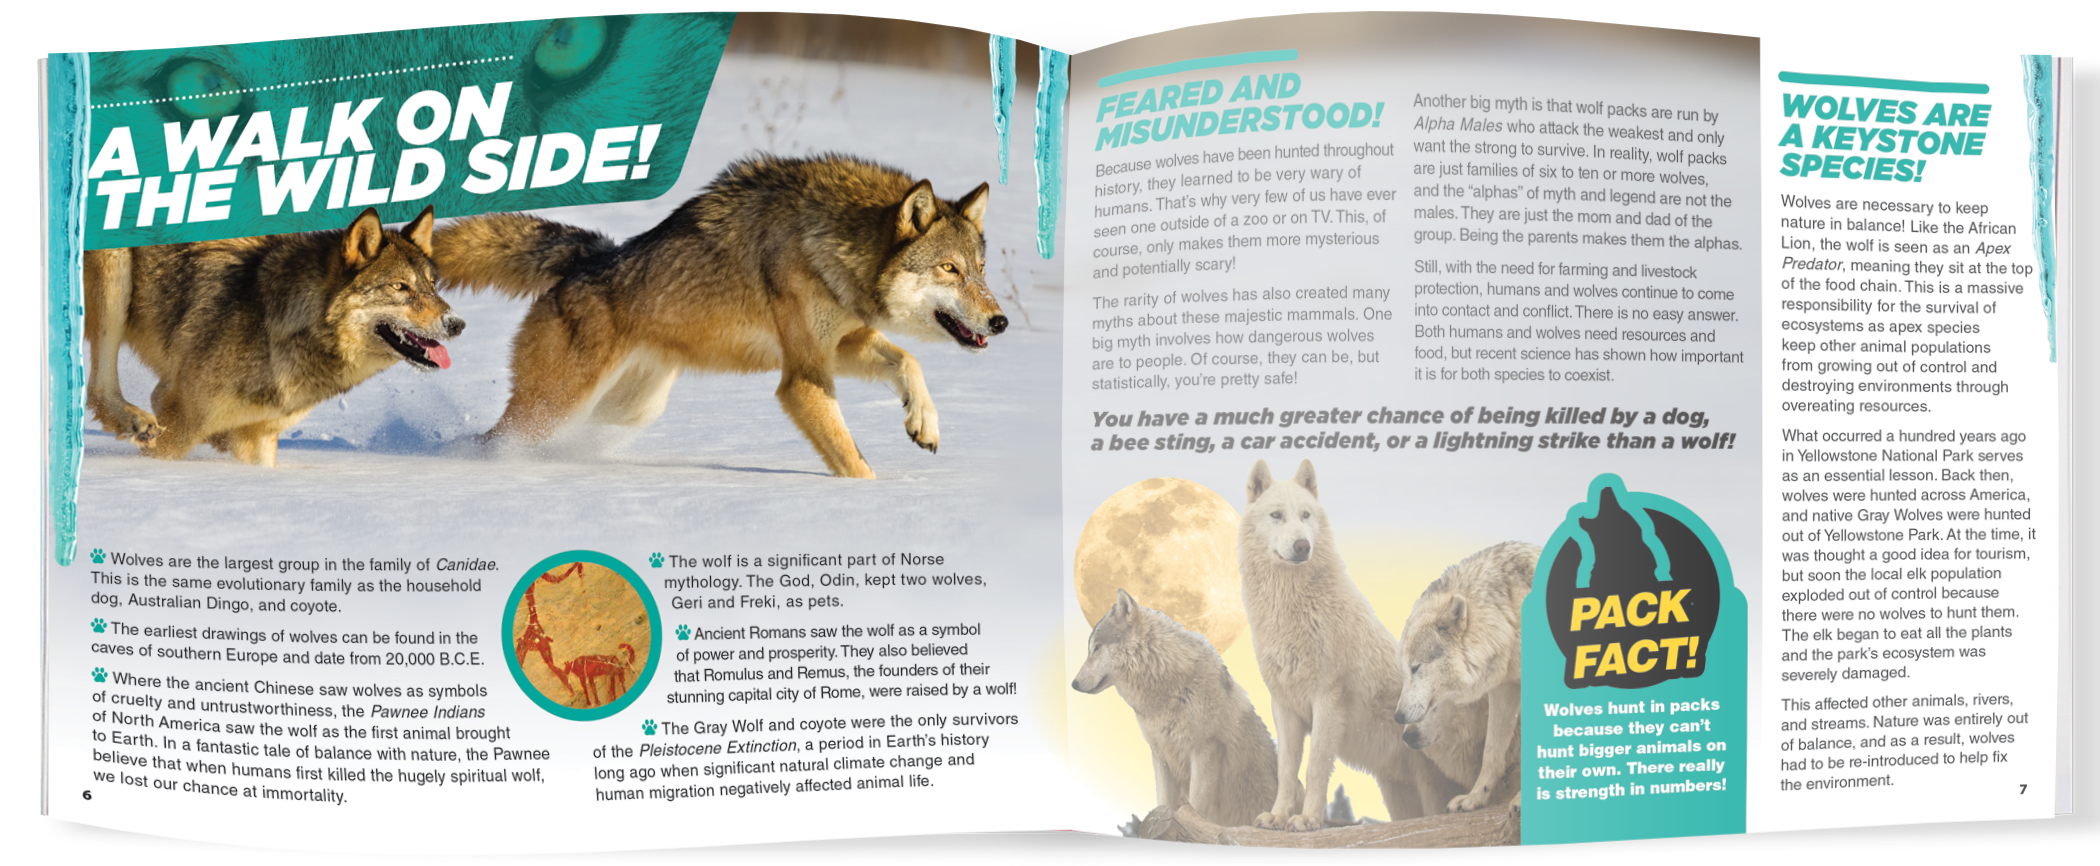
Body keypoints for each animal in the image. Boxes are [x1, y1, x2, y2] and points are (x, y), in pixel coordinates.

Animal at [84, 206, 459, 466]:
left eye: (432, 285)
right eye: (399, 287)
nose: (457, 324)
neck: (278, 329)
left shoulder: (258, 437)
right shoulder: (179, 417)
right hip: (114, 279)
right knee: (98, 387)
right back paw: (135, 422)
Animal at [431, 153, 1006, 478]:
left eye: (980, 270)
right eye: (949, 269)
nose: (1000, 322)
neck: (830, 243)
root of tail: (588, 257)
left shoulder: (838, 347)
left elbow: (910, 362)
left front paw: (923, 423)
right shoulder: (801, 379)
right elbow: (854, 463)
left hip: (627, 409)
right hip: (556, 406)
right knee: (496, 439)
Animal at [1072, 589, 1277, 827]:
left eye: (1097, 648)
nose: (1073, 684)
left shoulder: (1205, 749)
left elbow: (1196, 807)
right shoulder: (1161, 754)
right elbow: (1163, 803)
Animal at [1238, 459, 1477, 830]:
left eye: (1305, 515)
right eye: (1277, 515)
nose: (1302, 546)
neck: (1291, 608)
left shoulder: (1327, 699)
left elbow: (1315, 767)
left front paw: (1307, 820)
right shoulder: (1284, 705)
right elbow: (1286, 769)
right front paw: (1277, 816)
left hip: (1432, 788)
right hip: (1398, 795)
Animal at [1393, 540, 1541, 812]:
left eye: (1416, 667)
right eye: (1404, 670)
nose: (1398, 717)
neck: (1510, 617)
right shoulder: (1505, 688)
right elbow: (1491, 752)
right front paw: (1474, 798)